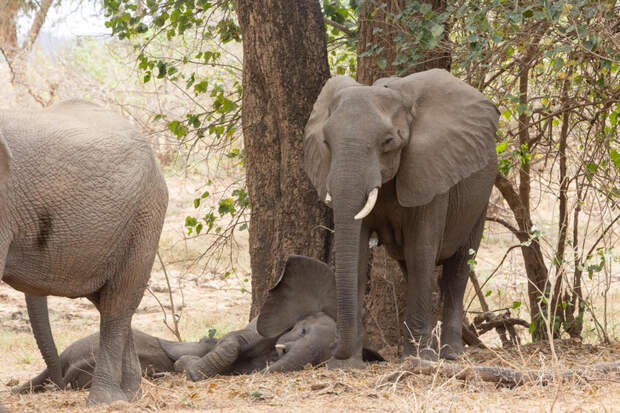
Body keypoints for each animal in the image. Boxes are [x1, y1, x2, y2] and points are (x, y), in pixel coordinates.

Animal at [0, 100, 170, 402]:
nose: (60, 384)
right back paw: (132, 396)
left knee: (118, 302)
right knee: (110, 301)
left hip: (146, 216)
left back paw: (108, 400)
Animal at [266, 69, 498, 366]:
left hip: (481, 194)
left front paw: (417, 359)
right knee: (411, 269)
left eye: (388, 142)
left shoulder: (429, 174)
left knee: (458, 267)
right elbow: (358, 251)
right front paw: (347, 365)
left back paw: (451, 354)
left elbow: (421, 250)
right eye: (326, 143)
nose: (334, 350)